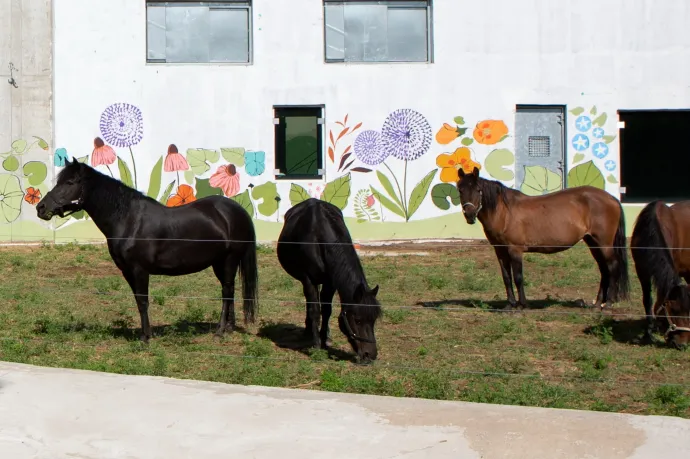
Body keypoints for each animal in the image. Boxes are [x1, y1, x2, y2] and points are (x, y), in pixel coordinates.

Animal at [35, 158, 256, 342]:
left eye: (70, 182)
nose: (41, 207)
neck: (129, 220)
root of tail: (236, 210)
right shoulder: (127, 271)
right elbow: (138, 301)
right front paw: (145, 334)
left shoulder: (139, 270)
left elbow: (143, 301)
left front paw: (145, 337)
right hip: (219, 263)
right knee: (230, 291)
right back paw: (229, 328)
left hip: (229, 260)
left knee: (226, 292)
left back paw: (219, 331)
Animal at [276, 199, 382, 364]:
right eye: (357, 320)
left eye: (374, 320)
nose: (369, 355)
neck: (318, 235)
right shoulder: (308, 279)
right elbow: (315, 310)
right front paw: (316, 344)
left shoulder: (331, 281)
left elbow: (326, 310)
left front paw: (324, 340)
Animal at [454, 169, 628, 312]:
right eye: (460, 190)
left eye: (478, 189)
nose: (469, 214)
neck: (504, 212)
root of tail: (612, 199)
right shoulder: (500, 250)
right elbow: (506, 277)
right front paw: (510, 304)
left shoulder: (515, 250)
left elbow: (518, 277)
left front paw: (522, 305)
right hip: (592, 242)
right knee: (604, 269)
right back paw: (597, 304)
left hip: (603, 243)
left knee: (612, 266)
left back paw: (608, 304)